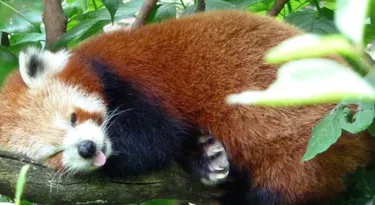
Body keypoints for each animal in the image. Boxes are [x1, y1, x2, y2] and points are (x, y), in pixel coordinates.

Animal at [0, 10, 375, 205]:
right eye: (52, 153)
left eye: (74, 117)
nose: (88, 149)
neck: (96, 65)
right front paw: (204, 155)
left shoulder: (135, 81)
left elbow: (153, 141)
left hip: (311, 138)